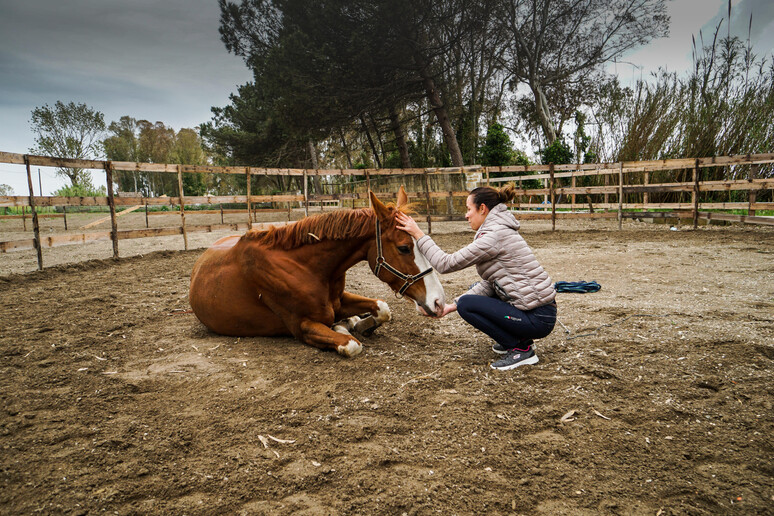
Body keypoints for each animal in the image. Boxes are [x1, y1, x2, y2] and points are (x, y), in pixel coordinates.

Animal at [189, 187, 448, 356]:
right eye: (404, 248)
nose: (438, 301)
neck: (308, 268)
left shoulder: (339, 301)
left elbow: (383, 308)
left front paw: (360, 324)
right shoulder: (303, 326)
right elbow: (351, 345)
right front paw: (344, 328)